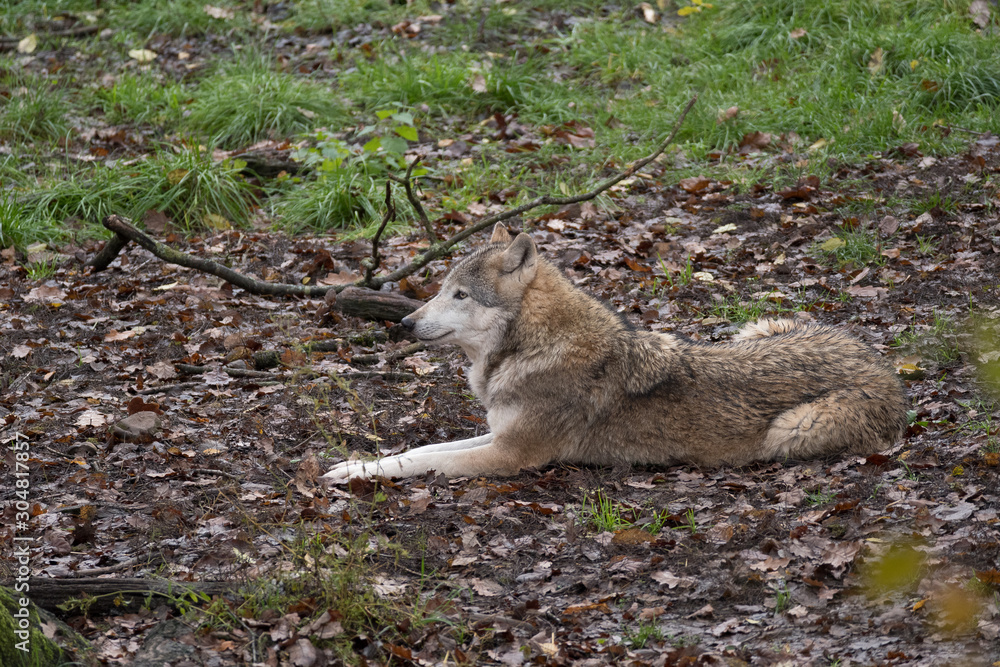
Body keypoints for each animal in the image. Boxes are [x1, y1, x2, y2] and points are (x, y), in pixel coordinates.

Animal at [323, 223, 907, 483]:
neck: (533, 348)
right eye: (443, 289)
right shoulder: (498, 433)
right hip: (755, 329)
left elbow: (426, 461)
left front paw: (357, 474)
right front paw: (355, 462)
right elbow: (425, 447)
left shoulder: (511, 455)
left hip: (789, 431)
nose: (404, 322)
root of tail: (882, 366)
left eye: (460, 295)